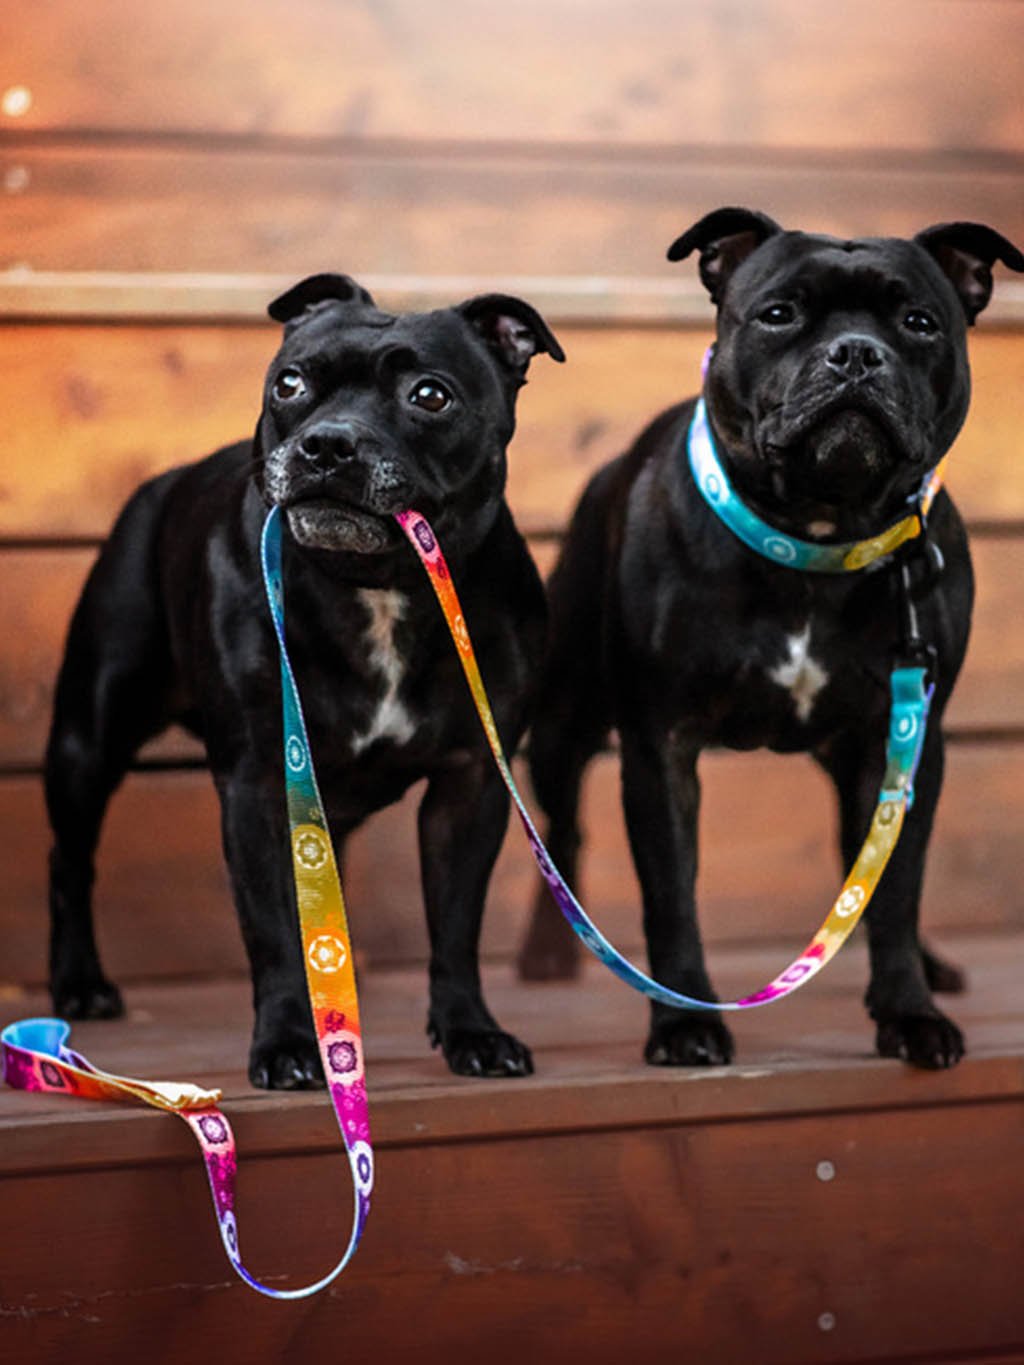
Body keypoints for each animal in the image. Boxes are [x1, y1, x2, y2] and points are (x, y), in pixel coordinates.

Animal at [44, 274, 565, 1086]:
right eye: (289, 383)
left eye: (431, 395)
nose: (327, 442)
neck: (377, 584)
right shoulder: (257, 784)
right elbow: (270, 930)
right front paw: (289, 1042)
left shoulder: (471, 785)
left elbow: (455, 925)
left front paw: (471, 1032)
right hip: (87, 742)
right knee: (70, 861)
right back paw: (81, 984)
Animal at [524, 207, 1021, 1070]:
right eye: (779, 313)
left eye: (920, 323)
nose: (856, 352)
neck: (817, 536)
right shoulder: (660, 747)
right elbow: (671, 894)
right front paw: (683, 1021)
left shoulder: (901, 745)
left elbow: (896, 888)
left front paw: (909, 1010)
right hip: (561, 719)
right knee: (563, 827)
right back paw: (548, 954)